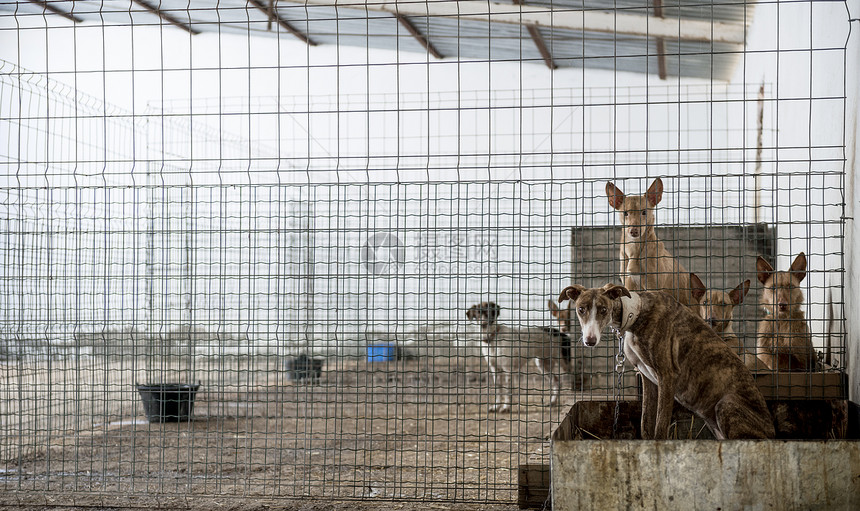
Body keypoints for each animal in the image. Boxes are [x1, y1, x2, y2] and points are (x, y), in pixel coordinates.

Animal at [556, 284, 772, 440]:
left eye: (603, 309)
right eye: (581, 309)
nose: (589, 341)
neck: (637, 314)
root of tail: (772, 431)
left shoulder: (667, 376)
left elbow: (660, 427)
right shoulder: (648, 379)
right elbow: (645, 424)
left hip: (725, 404)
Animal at [604, 178, 692, 306]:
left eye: (644, 212)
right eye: (625, 213)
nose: (634, 230)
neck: (635, 249)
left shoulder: (653, 286)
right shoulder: (629, 285)